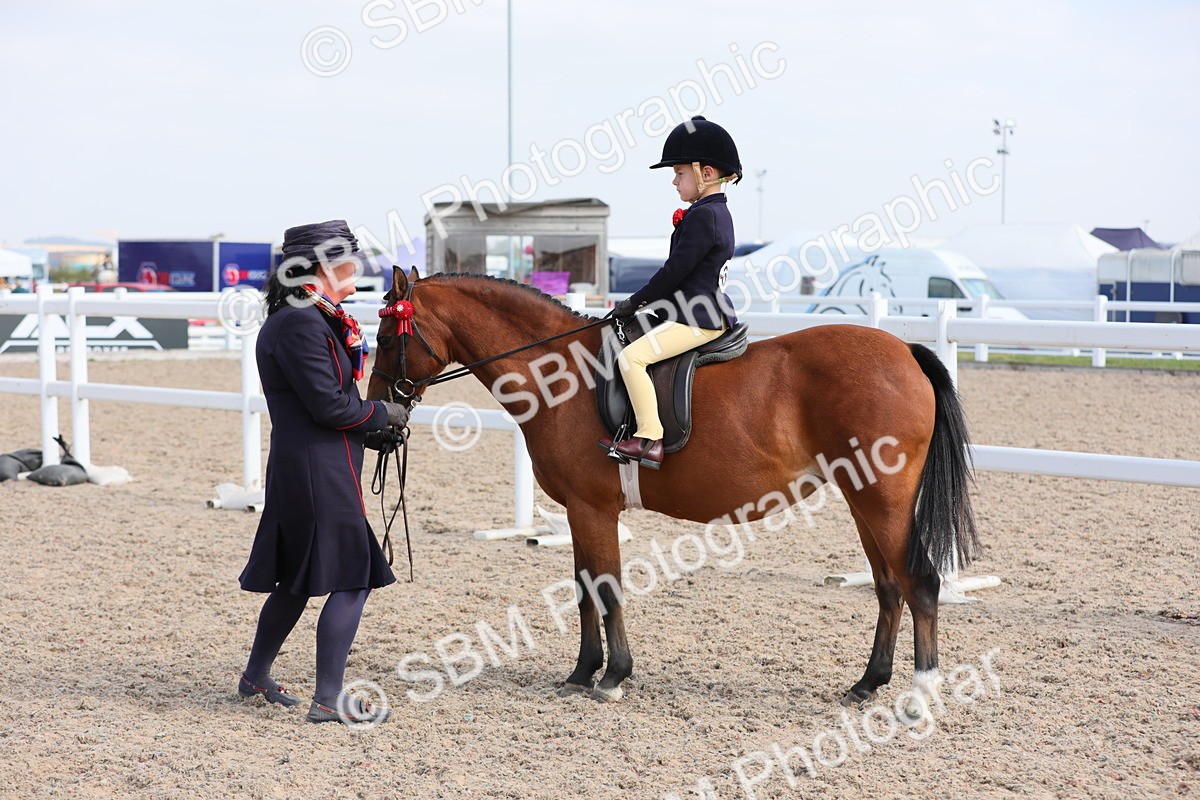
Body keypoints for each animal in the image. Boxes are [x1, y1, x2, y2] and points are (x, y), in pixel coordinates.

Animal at [367, 266, 979, 712]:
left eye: (385, 336)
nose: (380, 423)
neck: (563, 372)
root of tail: (904, 351)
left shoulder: (593, 508)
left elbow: (606, 588)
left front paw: (613, 677)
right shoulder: (581, 512)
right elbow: (585, 587)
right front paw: (582, 672)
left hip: (883, 500)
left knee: (920, 583)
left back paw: (921, 695)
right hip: (862, 499)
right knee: (888, 587)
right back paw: (867, 684)